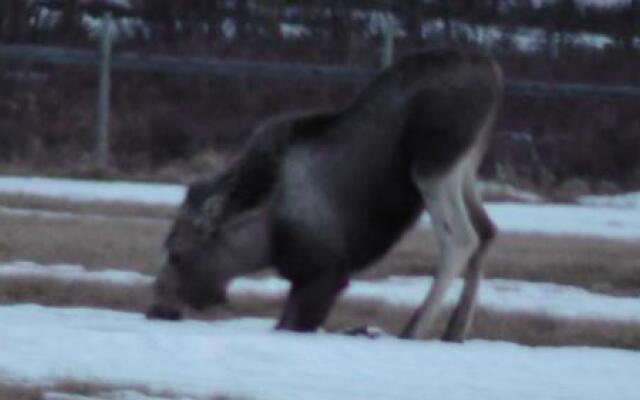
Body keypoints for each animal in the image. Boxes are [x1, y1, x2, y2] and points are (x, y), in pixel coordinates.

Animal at [148, 48, 502, 342]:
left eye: (177, 253)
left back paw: (414, 330)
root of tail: (494, 73)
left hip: (433, 165)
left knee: (461, 237)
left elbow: (292, 324)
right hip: (465, 167)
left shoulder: (324, 273)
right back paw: (455, 330)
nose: (156, 309)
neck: (264, 237)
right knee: (487, 230)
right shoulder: (304, 278)